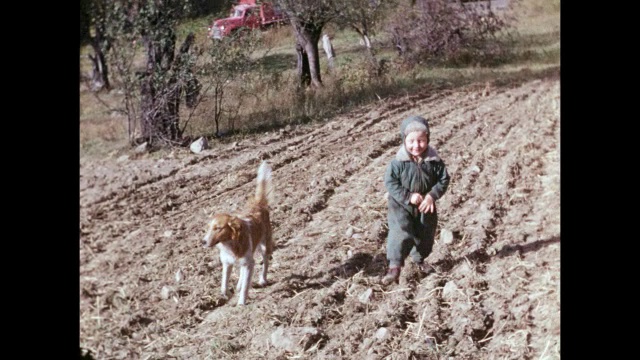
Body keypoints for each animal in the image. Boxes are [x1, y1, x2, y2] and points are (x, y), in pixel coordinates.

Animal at [202, 162, 272, 306]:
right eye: (209, 228)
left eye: (218, 228)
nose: (203, 242)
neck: (230, 244)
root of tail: (258, 204)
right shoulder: (227, 263)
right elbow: (223, 286)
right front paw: (228, 294)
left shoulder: (250, 263)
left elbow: (246, 286)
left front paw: (241, 303)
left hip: (264, 245)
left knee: (266, 262)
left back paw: (263, 280)